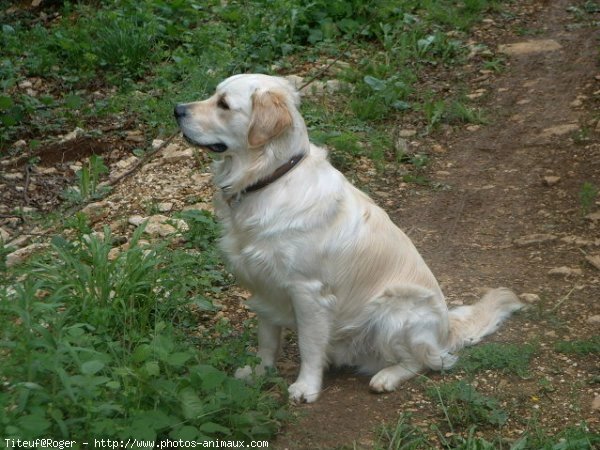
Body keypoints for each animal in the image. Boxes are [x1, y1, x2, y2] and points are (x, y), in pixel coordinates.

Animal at [173, 74, 520, 404]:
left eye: (224, 104)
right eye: (214, 93)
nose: (177, 109)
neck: (269, 178)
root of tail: (446, 328)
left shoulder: (308, 291)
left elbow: (309, 345)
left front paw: (306, 388)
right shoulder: (263, 286)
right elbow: (267, 340)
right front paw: (260, 372)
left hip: (393, 311)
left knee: (427, 361)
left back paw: (387, 377)